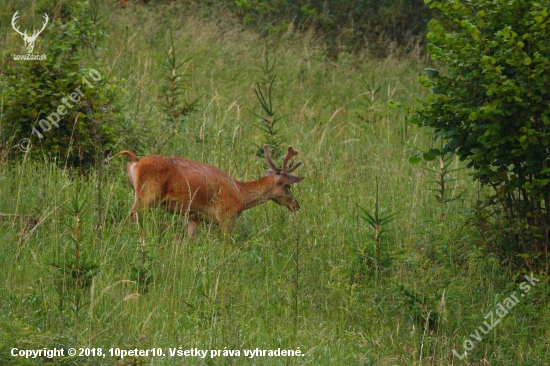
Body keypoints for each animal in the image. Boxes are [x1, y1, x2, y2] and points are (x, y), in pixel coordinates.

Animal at [119, 144, 306, 236]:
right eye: (287, 186)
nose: (296, 205)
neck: (241, 193)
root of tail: (136, 160)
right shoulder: (226, 215)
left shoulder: (195, 217)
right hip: (146, 195)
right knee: (129, 219)